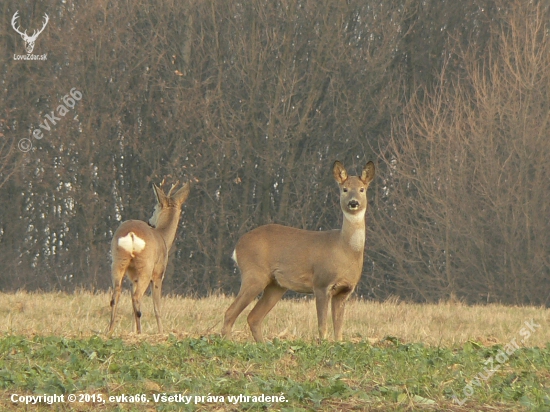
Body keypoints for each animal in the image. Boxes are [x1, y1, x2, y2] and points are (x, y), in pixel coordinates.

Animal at [109, 181, 191, 334]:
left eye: (154, 208)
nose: (149, 221)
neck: (163, 237)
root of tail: (131, 234)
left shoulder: (133, 277)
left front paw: (133, 331)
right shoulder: (158, 273)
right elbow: (157, 307)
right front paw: (161, 332)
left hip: (118, 261)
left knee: (116, 295)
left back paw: (110, 331)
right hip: (146, 267)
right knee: (136, 297)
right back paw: (140, 332)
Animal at [223, 161, 376, 342]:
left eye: (362, 189)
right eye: (344, 189)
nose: (353, 202)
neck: (345, 250)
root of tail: (237, 246)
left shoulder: (345, 290)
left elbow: (339, 331)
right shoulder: (321, 283)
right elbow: (322, 327)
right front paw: (322, 344)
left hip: (276, 285)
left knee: (253, 317)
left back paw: (263, 344)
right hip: (254, 273)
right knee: (230, 312)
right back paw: (227, 342)